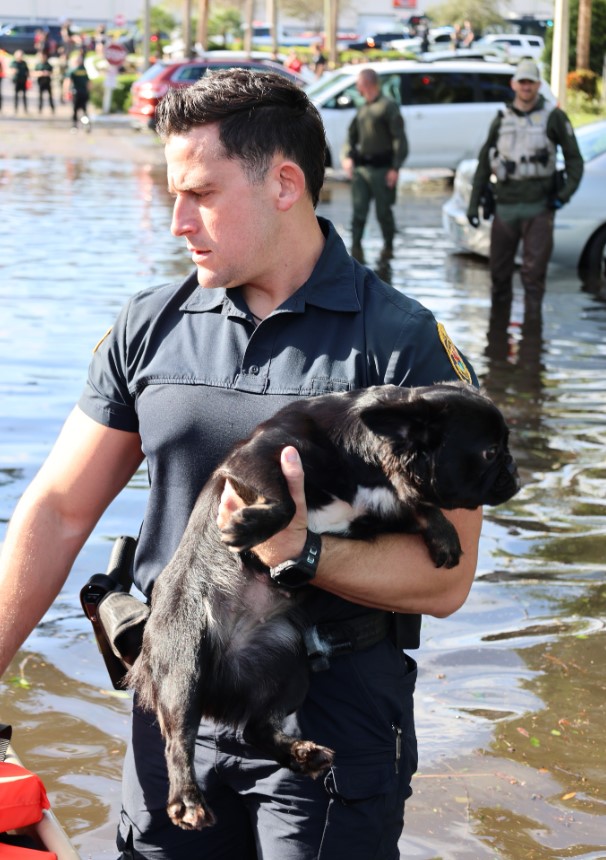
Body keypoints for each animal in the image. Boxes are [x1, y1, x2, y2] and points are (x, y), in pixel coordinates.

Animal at [127, 381, 520, 830]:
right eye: (490, 452)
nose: (514, 471)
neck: (371, 462)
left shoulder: (375, 517)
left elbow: (417, 506)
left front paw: (443, 534)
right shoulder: (260, 459)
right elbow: (286, 505)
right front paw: (249, 526)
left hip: (290, 663)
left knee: (255, 730)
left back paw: (303, 754)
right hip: (184, 661)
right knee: (179, 738)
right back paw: (187, 800)